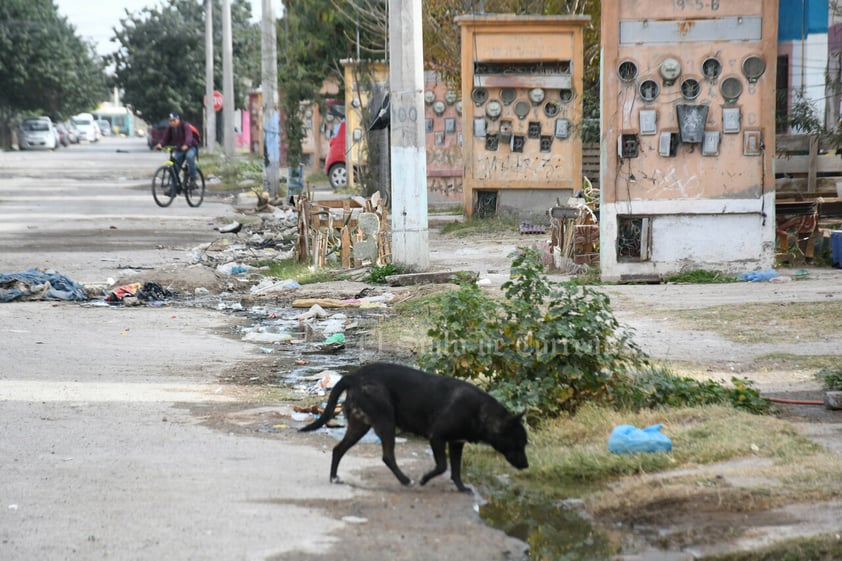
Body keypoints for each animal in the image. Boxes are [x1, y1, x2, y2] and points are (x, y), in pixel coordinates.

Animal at [300, 364, 524, 490]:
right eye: (518, 443)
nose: (526, 465)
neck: (481, 412)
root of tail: (354, 376)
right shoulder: (437, 437)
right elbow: (443, 466)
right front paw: (424, 479)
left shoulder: (456, 443)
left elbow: (456, 471)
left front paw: (461, 488)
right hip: (386, 422)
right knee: (387, 456)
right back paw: (405, 480)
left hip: (359, 426)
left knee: (338, 449)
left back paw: (334, 477)